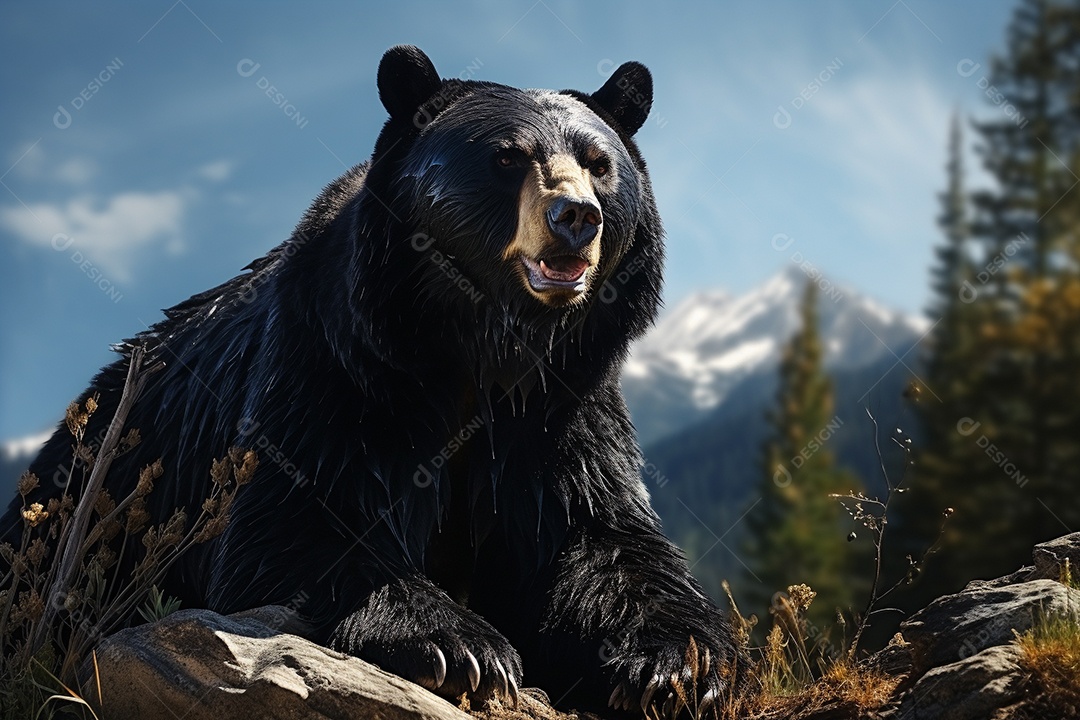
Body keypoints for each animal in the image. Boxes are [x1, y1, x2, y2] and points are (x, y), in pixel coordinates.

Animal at [3, 46, 743, 718]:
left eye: (598, 163)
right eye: (508, 157)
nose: (578, 218)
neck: (484, 345)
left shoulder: (562, 402)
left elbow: (595, 534)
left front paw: (676, 666)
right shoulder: (340, 365)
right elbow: (304, 518)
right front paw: (463, 647)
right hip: (88, 501)